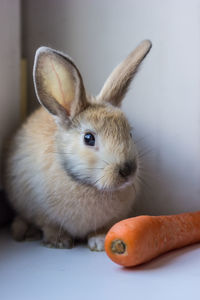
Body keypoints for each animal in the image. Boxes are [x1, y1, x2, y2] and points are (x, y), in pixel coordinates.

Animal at [3, 39, 152, 251]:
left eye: (129, 133)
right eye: (89, 138)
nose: (127, 170)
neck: (86, 184)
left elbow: (100, 229)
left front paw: (99, 243)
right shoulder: (42, 213)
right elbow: (49, 226)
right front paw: (59, 242)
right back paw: (22, 232)